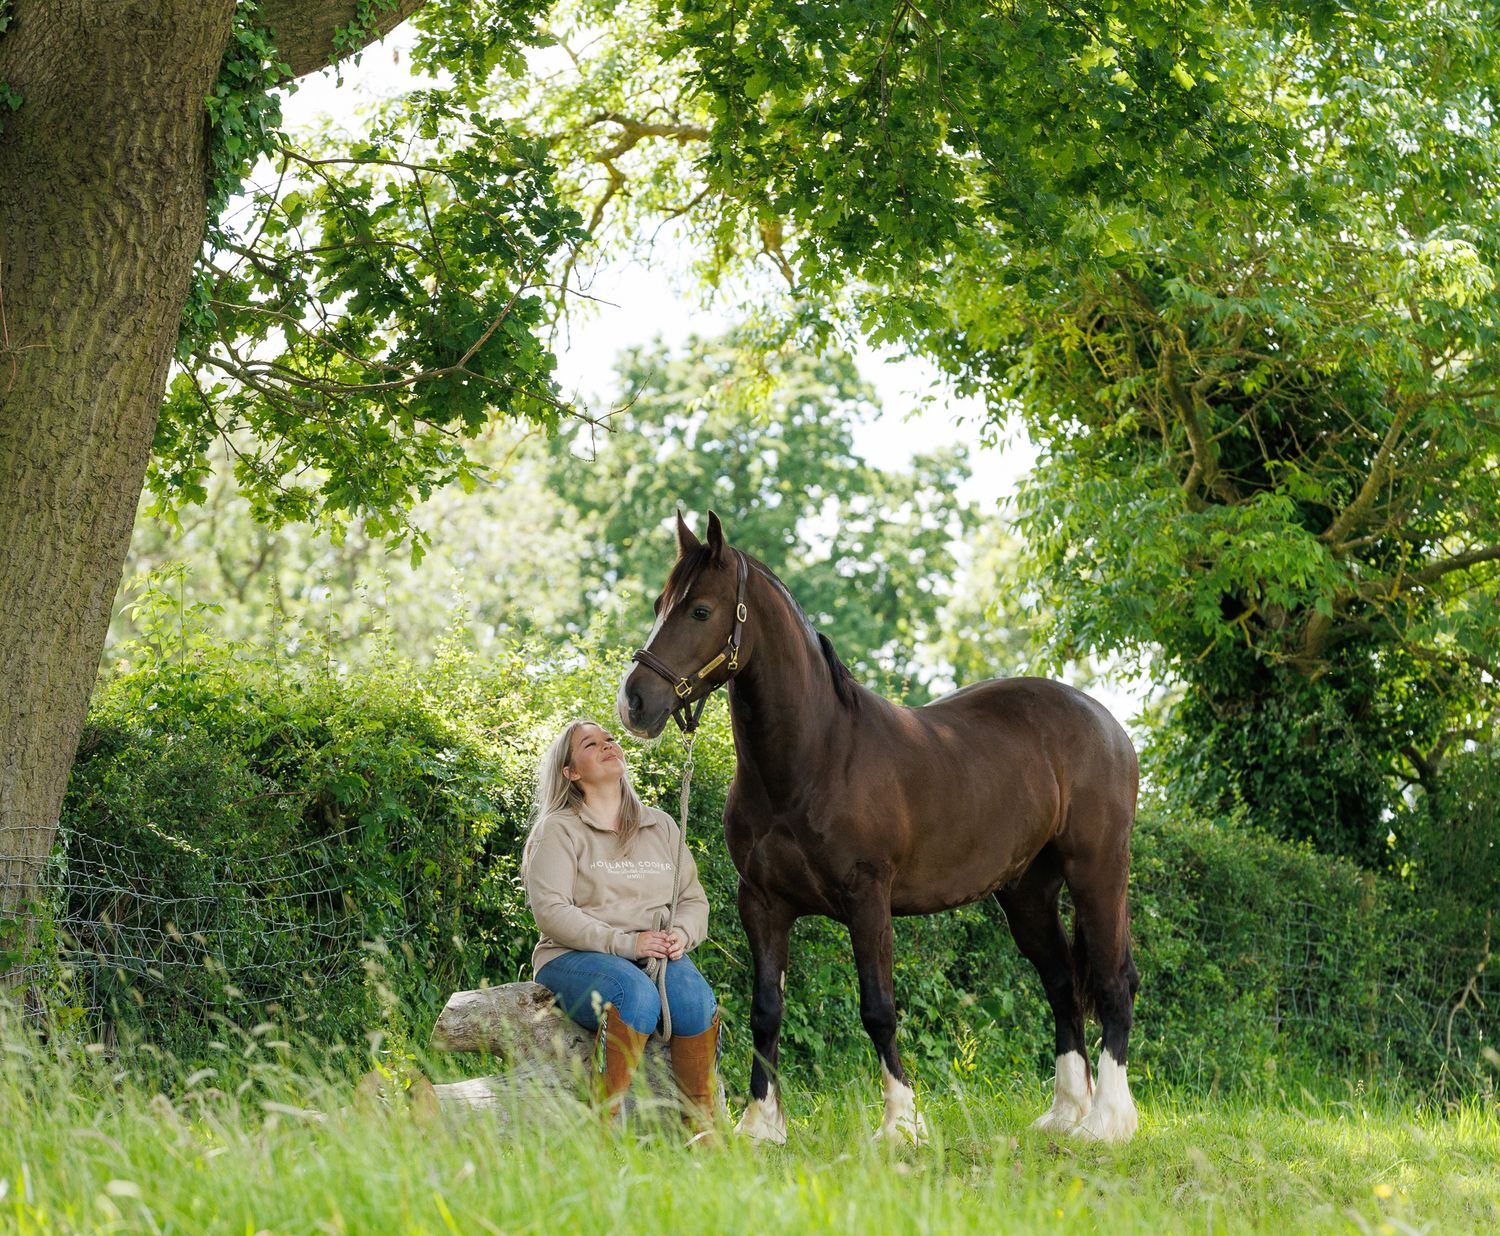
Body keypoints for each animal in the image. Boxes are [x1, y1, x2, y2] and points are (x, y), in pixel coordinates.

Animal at [618, 512, 1141, 1144]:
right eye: (658, 604)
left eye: (700, 611)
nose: (635, 701)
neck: (816, 759)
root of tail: (1105, 723)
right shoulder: (762, 902)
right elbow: (766, 1010)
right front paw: (761, 1124)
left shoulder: (867, 900)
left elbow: (878, 1008)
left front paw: (901, 1123)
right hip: (1028, 893)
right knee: (1063, 984)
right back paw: (1066, 1113)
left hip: (1098, 873)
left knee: (1113, 982)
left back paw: (1107, 1122)